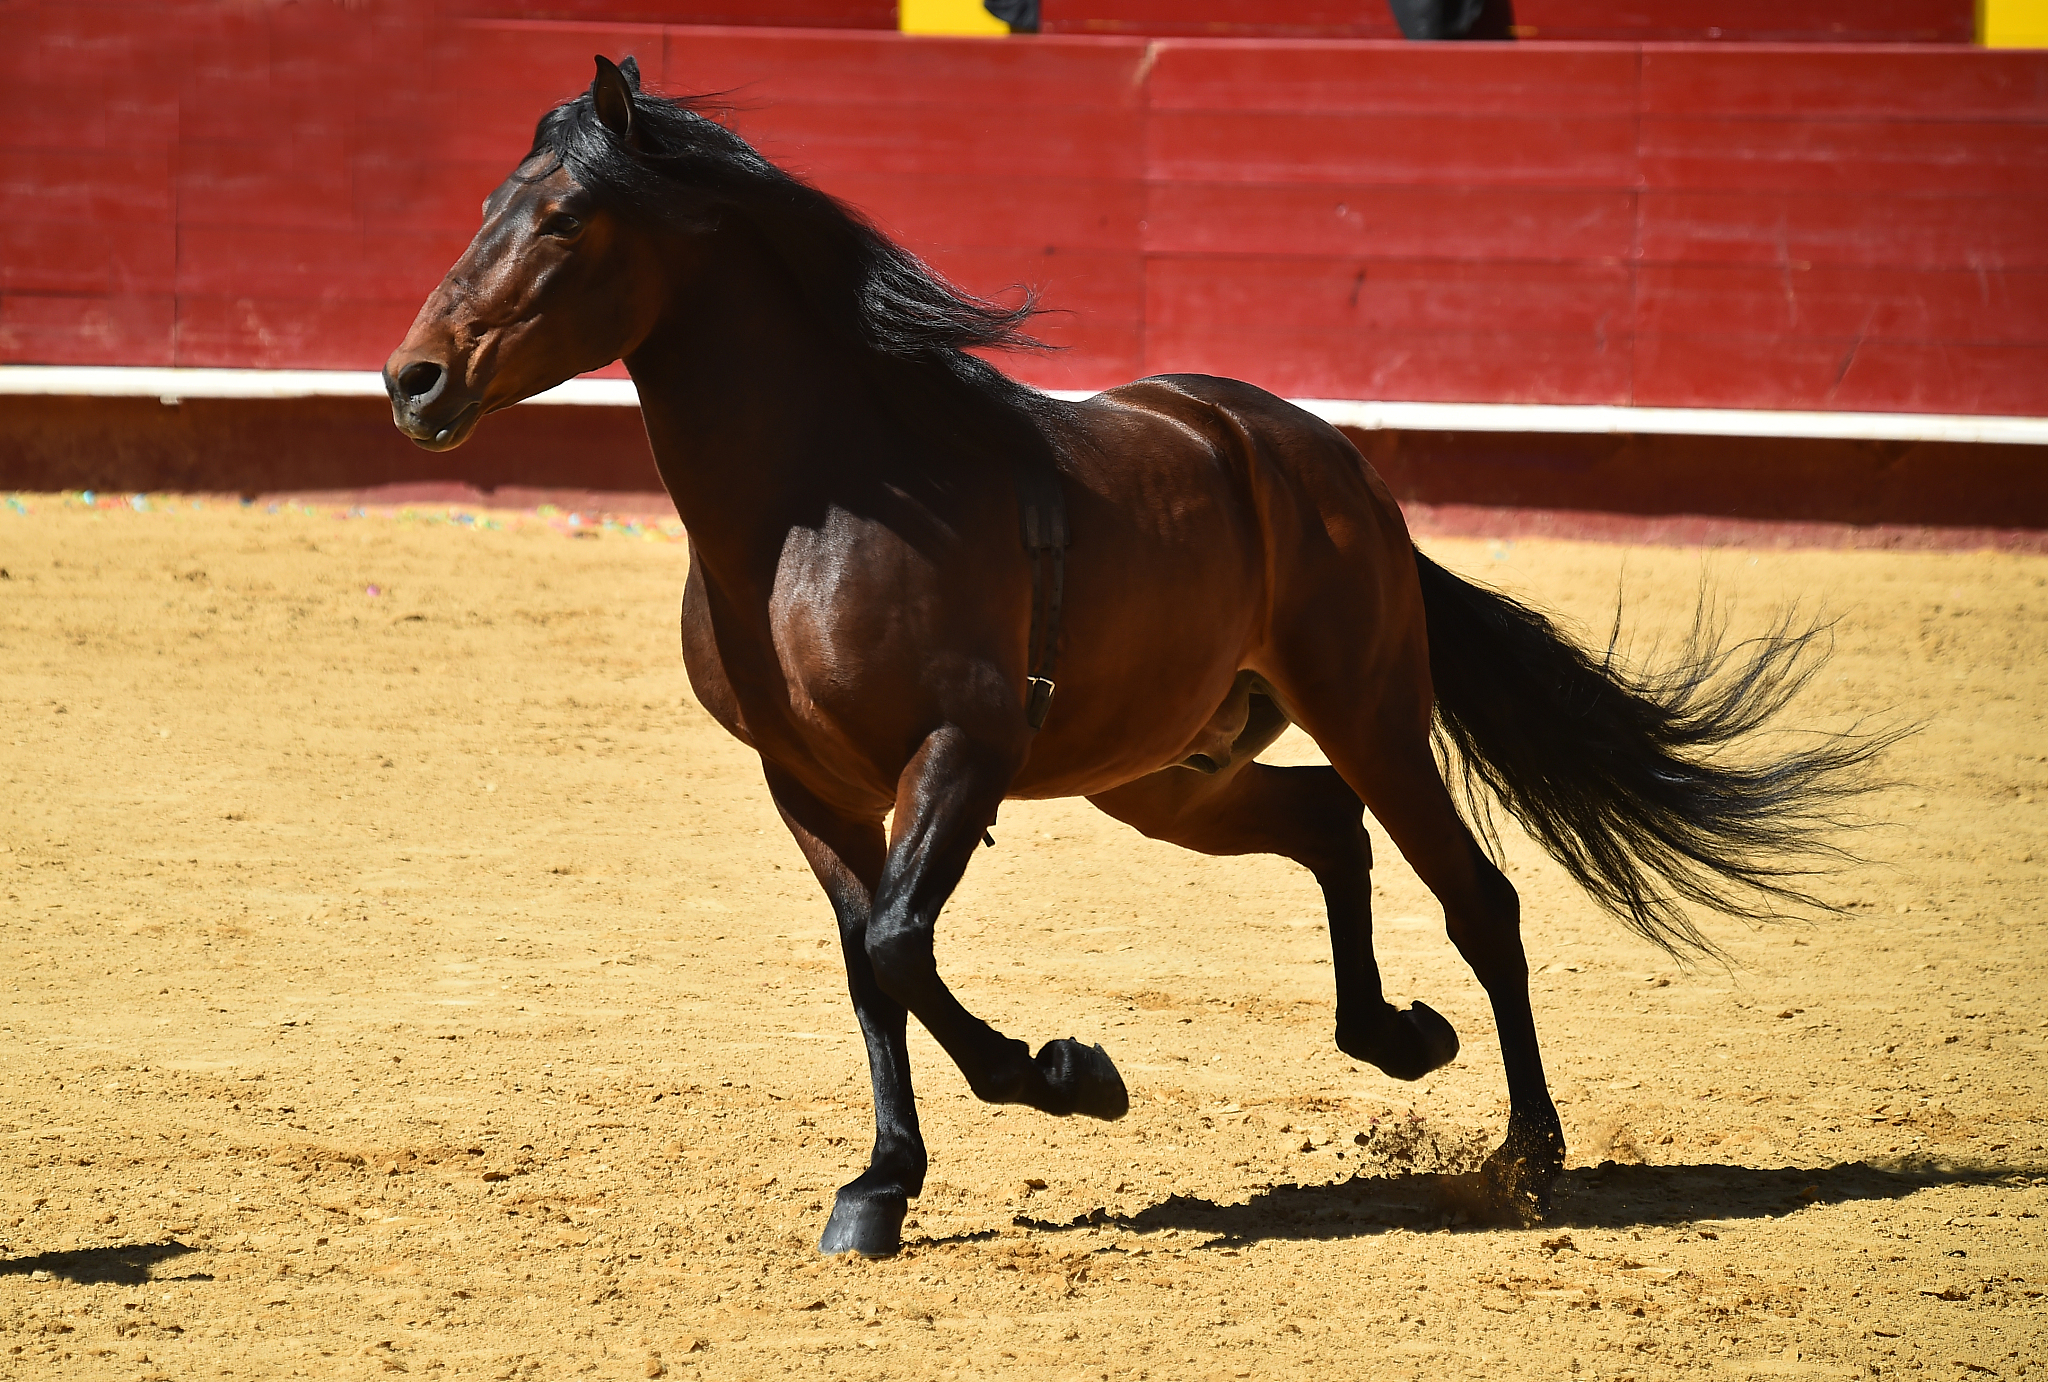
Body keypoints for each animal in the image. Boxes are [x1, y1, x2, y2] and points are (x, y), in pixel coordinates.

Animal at [384, 56, 1886, 1258]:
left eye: (564, 218)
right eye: (483, 208)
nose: (414, 381)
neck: (812, 503)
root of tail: (1318, 456)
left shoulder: (961, 749)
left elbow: (902, 943)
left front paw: (1069, 1073)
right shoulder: (807, 787)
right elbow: (869, 964)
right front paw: (881, 1184)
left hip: (1367, 708)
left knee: (1481, 899)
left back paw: (1526, 1151)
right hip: (1167, 771)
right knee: (1328, 828)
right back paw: (1398, 1036)